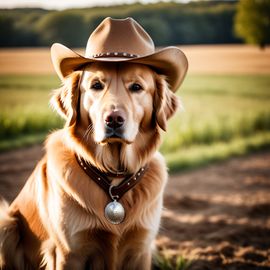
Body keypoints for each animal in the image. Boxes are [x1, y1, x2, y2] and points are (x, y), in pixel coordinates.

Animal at [0, 17, 188, 268]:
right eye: (96, 85)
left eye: (136, 87)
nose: (114, 119)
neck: (113, 179)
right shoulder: (68, 252)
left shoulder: (141, 249)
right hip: (6, 224)